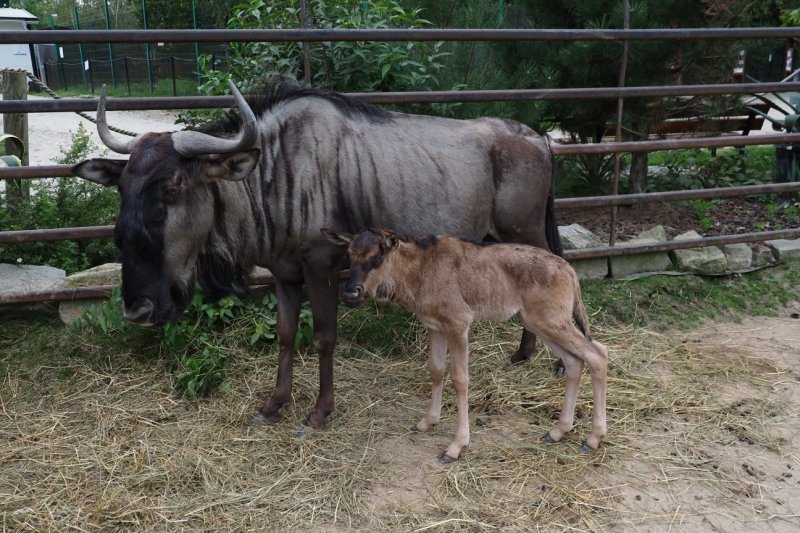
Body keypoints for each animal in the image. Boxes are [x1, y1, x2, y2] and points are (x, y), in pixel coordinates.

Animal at [324, 228, 608, 462]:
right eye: (349, 256)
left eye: (378, 258)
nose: (350, 293)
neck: (420, 271)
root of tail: (570, 271)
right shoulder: (434, 327)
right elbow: (436, 370)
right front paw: (427, 422)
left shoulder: (458, 324)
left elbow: (460, 379)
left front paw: (456, 446)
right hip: (539, 321)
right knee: (574, 361)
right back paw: (558, 431)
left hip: (552, 320)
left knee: (597, 354)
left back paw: (593, 438)